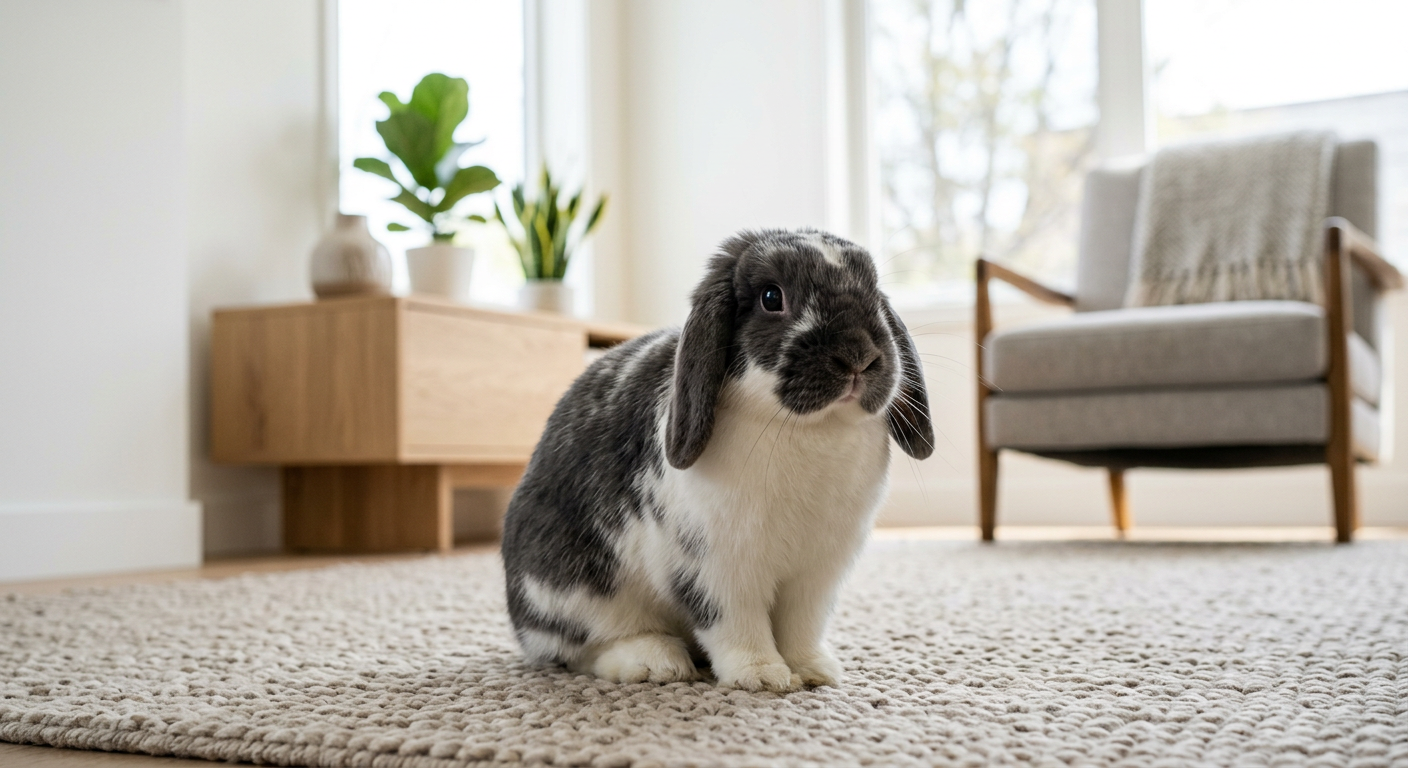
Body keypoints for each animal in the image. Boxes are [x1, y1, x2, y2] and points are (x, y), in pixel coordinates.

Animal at [501, 228, 933, 692]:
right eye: (771, 297)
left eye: (873, 290)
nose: (858, 357)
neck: (810, 428)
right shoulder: (719, 568)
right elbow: (735, 623)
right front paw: (762, 676)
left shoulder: (816, 574)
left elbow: (801, 626)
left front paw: (815, 671)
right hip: (571, 590)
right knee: (579, 647)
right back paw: (655, 662)